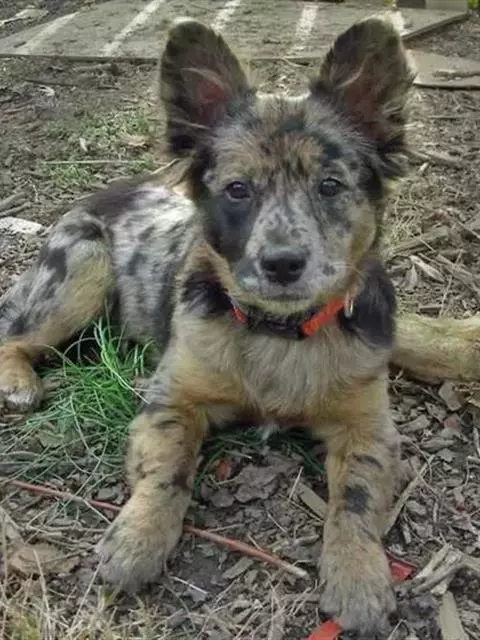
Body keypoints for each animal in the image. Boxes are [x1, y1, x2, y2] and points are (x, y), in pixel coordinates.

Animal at [1, 16, 480, 636]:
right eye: (237, 189)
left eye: (330, 186)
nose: (282, 264)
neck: (279, 330)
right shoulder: (172, 399)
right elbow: (168, 469)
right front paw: (138, 538)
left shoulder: (368, 425)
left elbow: (353, 497)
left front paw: (358, 576)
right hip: (82, 270)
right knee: (14, 332)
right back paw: (18, 381)